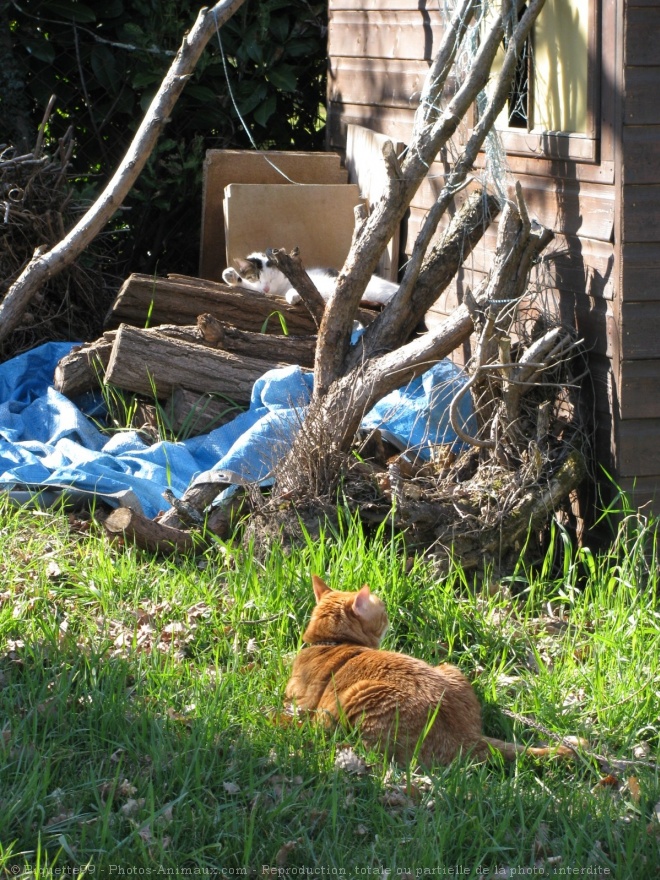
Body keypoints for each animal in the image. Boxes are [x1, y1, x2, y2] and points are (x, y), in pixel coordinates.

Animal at [222, 253, 398, 308]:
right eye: (256, 278)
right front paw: (231, 276)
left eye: (271, 279)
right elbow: (250, 288)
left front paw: (293, 295)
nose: (266, 289)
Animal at [286, 576, 576, 768]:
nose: (390, 617)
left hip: (363, 696)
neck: (330, 642)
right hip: (449, 668)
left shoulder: (298, 704)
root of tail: (469, 736)